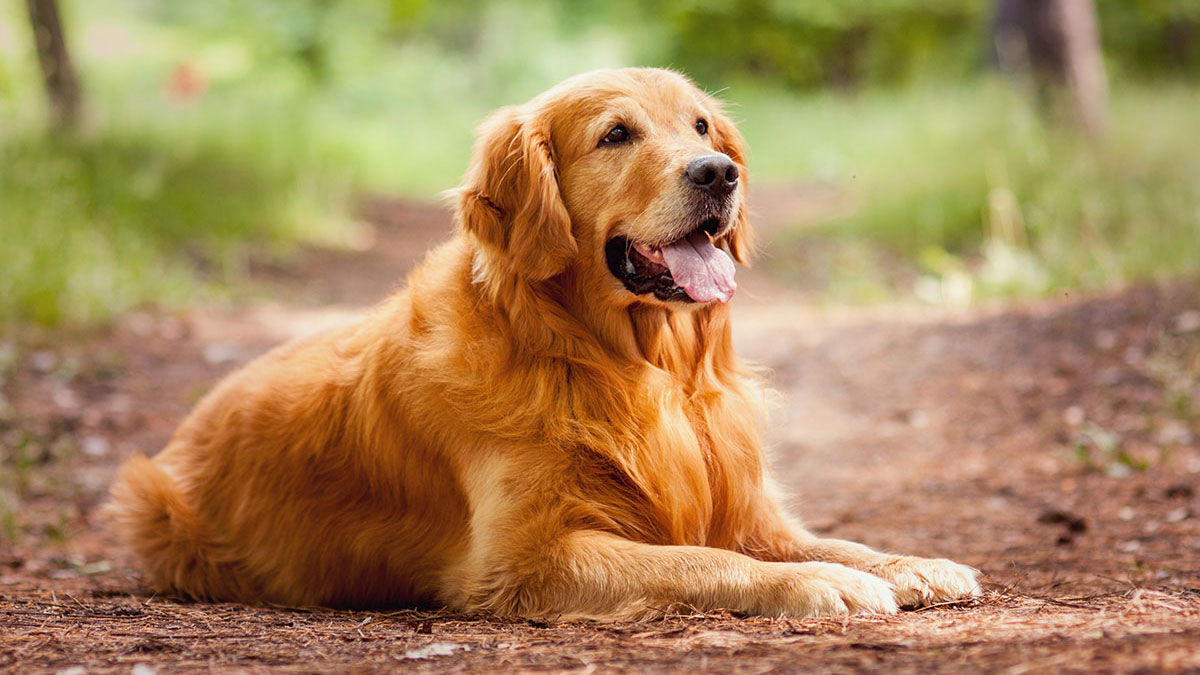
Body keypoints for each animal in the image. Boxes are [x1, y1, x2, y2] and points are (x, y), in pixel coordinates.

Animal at [108, 66, 979, 614]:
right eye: (616, 134)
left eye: (701, 124)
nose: (718, 171)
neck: (630, 364)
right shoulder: (526, 556)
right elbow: (703, 559)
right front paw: (817, 584)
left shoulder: (747, 505)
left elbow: (828, 538)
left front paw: (910, 562)